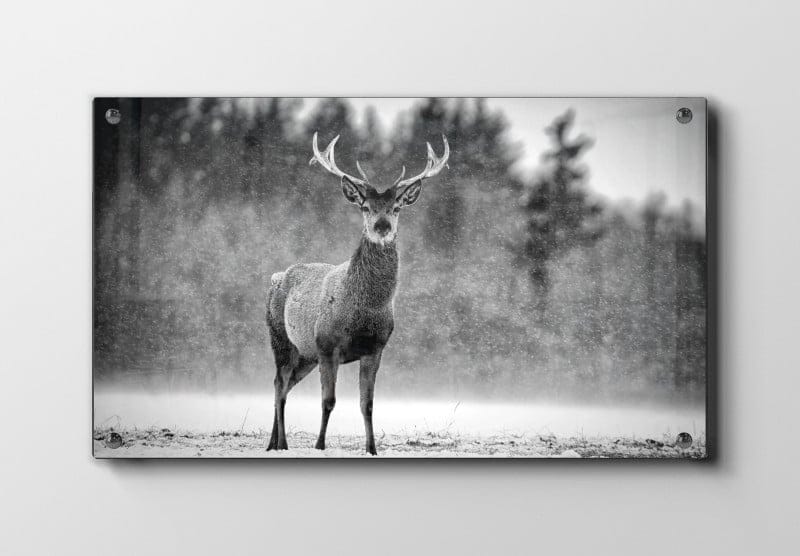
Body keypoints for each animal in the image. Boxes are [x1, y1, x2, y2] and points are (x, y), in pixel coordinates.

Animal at [265, 132, 450, 455]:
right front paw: (320, 445)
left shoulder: (375, 348)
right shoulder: (327, 344)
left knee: (285, 386)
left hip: (305, 354)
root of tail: (275, 277)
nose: (382, 226)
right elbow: (328, 401)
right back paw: (282, 444)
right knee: (278, 385)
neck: (364, 310)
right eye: (365, 207)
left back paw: (273, 443)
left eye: (396, 208)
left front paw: (372, 449)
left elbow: (368, 404)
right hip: (281, 339)